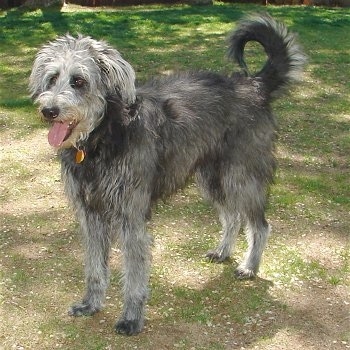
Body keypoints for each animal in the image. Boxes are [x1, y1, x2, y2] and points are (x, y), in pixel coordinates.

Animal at [28, 13, 304, 334]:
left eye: (79, 81)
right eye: (52, 78)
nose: (49, 110)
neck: (102, 135)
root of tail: (252, 85)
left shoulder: (131, 218)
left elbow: (135, 274)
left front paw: (131, 318)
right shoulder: (91, 214)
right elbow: (95, 268)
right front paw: (91, 304)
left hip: (240, 177)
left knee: (259, 225)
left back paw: (249, 266)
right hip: (211, 177)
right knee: (232, 216)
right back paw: (223, 251)